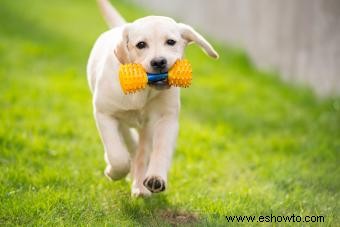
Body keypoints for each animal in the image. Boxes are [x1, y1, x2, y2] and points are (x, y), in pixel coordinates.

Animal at [87, 0, 219, 197]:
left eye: (171, 42)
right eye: (141, 44)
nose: (159, 62)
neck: (143, 91)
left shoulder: (167, 119)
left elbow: (161, 150)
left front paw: (156, 178)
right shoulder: (104, 113)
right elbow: (117, 155)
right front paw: (113, 172)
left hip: (147, 128)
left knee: (142, 152)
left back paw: (140, 186)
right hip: (121, 121)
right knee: (128, 141)